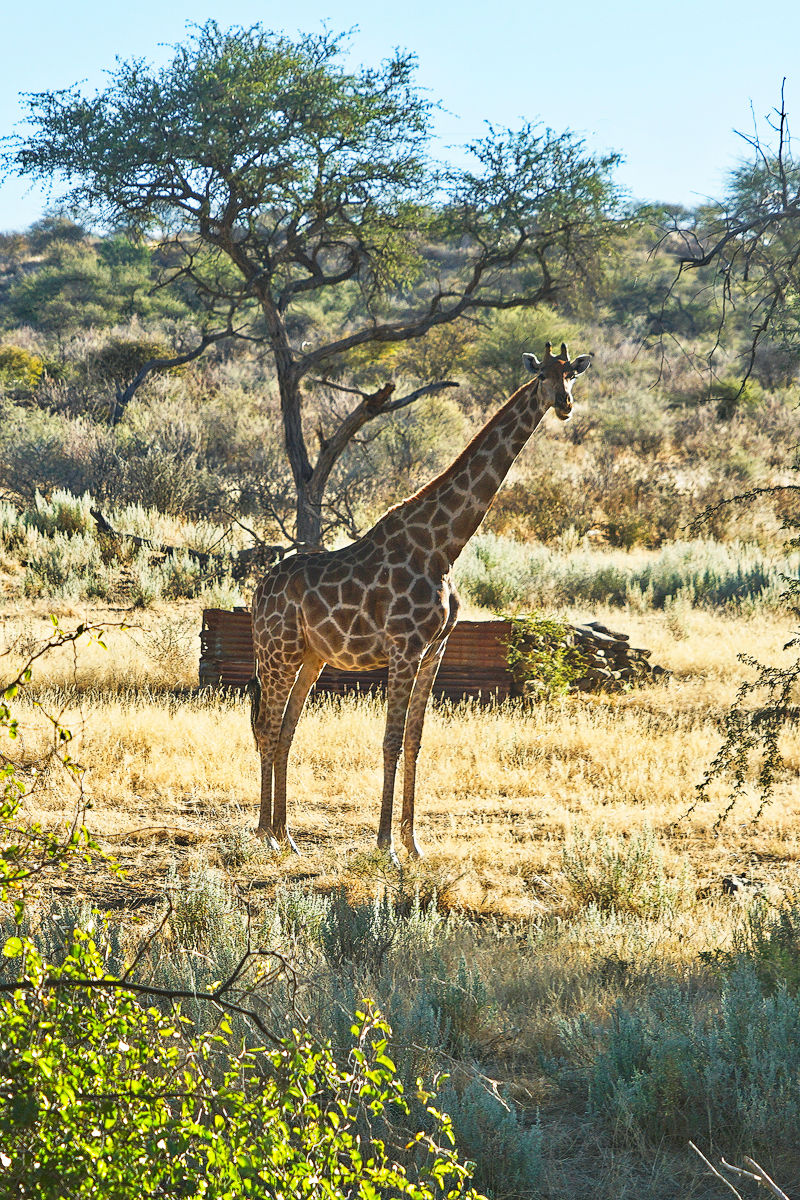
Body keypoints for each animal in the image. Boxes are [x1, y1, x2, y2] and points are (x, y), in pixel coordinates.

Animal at [253, 343, 592, 859]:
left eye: (572, 374)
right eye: (542, 376)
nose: (565, 404)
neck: (444, 546)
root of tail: (256, 594)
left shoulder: (436, 649)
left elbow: (415, 740)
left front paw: (414, 845)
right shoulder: (404, 647)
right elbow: (390, 740)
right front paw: (385, 845)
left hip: (311, 657)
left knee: (287, 729)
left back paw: (286, 835)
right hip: (279, 652)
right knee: (267, 728)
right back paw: (263, 836)